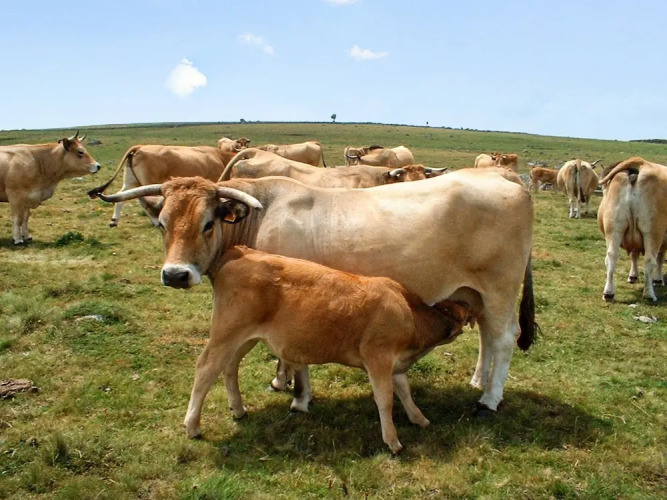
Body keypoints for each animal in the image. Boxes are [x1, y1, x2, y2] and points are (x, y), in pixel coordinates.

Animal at [87, 145, 236, 227]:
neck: (221, 158)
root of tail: (140, 147)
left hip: (131, 182)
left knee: (121, 196)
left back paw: (114, 220)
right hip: (148, 183)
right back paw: (155, 221)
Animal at [91, 168, 535, 415]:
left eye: (207, 222)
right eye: (162, 224)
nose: (176, 274)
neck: (259, 217)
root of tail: (501, 175)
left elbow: (295, 354)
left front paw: (297, 394)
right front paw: (282, 381)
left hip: (499, 287)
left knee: (503, 338)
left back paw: (488, 401)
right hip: (474, 291)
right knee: (486, 336)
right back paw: (478, 381)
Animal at [597, 157, 667, 302]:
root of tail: (640, 163)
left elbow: (634, 255)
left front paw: (632, 276)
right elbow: (660, 258)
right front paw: (658, 279)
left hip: (614, 228)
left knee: (611, 257)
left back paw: (608, 293)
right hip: (653, 232)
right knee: (649, 260)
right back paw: (649, 294)